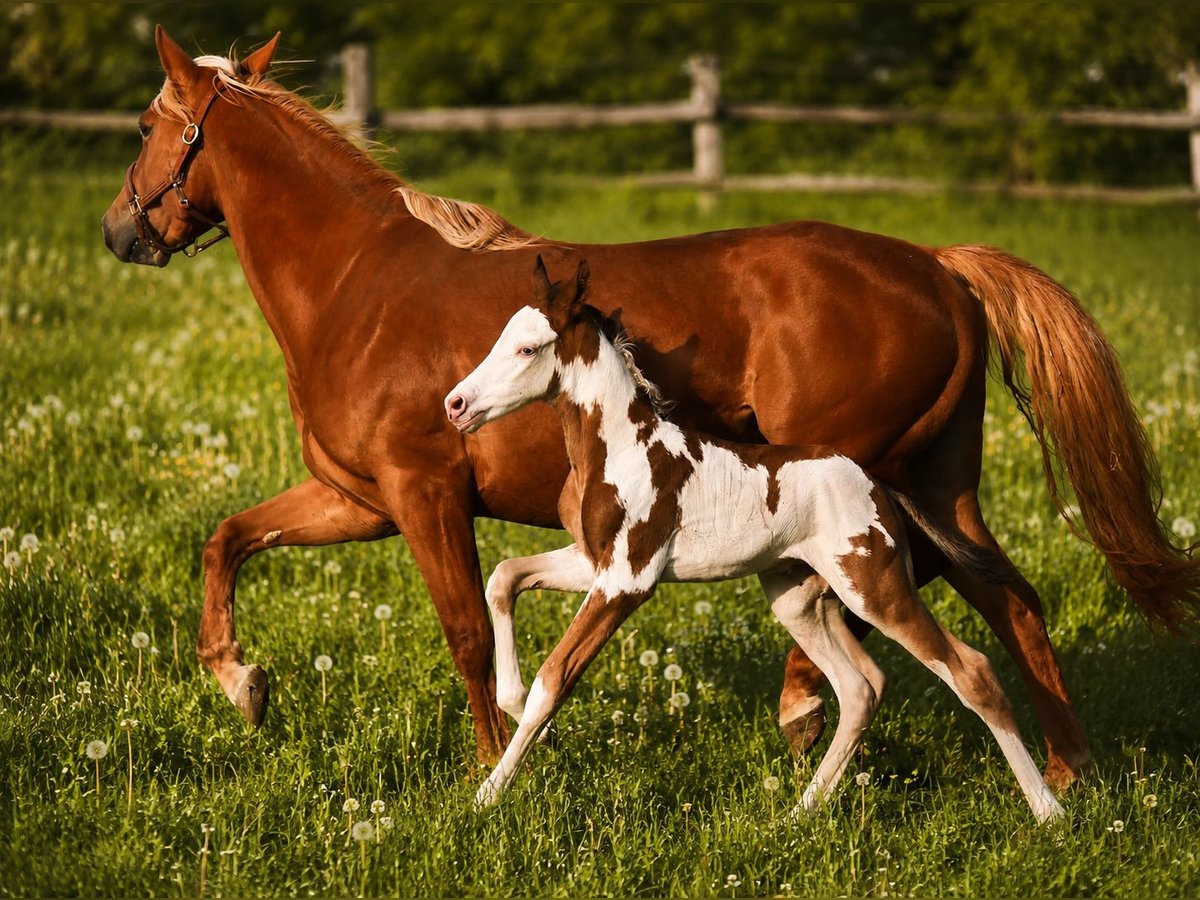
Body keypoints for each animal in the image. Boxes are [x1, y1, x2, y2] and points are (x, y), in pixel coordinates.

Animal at [446, 256, 1065, 823]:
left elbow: (554, 680)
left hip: (876, 586)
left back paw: (1050, 812)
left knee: (970, 673)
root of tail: (876, 481)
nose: (456, 405)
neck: (619, 448)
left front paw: (487, 796)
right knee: (860, 689)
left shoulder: (627, 581)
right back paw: (799, 815)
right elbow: (504, 578)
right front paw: (516, 708)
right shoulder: (593, 562)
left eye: (528, 350)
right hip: (799, 598)